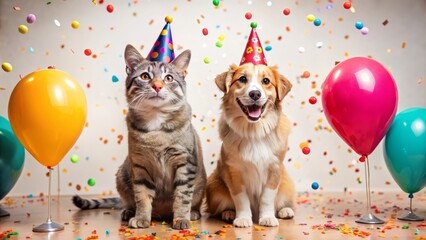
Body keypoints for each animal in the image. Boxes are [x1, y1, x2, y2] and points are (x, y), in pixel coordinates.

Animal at [73, 44, 206, 230]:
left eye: (169, 78)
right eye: (145, 76)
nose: (157, 86)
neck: (156, 125)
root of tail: (163, 214)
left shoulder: (185, 163)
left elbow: (182, 196)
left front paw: (181, 218)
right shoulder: (140, 165)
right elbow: (142, 196)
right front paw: (142, 217)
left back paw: (192, 213)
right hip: (122, 175)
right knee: (129, 201)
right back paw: (129, 211)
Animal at [206, 62, 294, 227]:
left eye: (266, 81)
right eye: (242, 79)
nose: (255, 94)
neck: (254, 130)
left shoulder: (274, 169)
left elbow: (267, 198)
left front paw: (267, 217)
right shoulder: (234, 171)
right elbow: (241, 199)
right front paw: (243, 218)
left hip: (287, 183)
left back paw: (285, 210)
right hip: (214, 185)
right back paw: (228, 213)